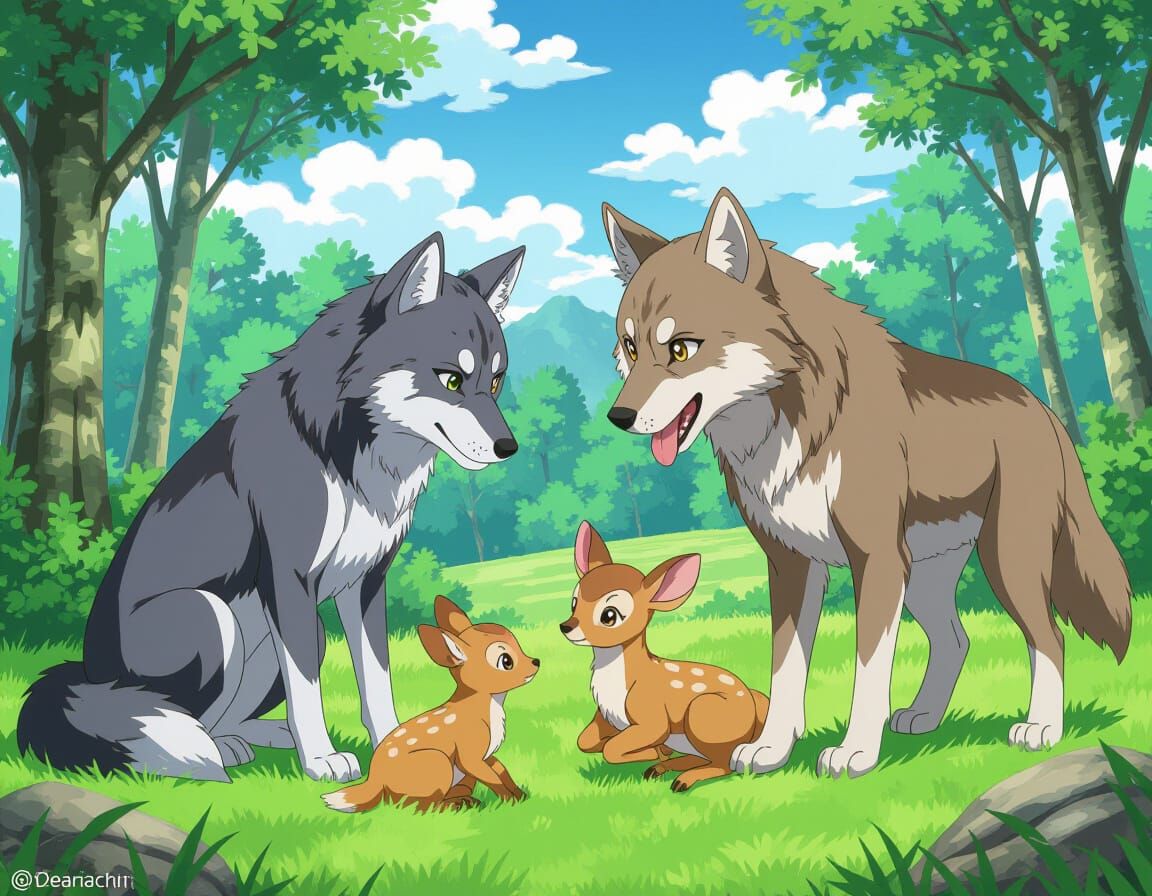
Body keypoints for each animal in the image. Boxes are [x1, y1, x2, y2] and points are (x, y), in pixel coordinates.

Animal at [18, 233, 524, 783]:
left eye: (494, 383)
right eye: (451, 380)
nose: (508, 448)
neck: (345, 450)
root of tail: (89, 675)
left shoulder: (365, 584)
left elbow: (376, 678)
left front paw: (394, 744)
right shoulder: (289, 579)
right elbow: (307, 688)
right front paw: (322, 758)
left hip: (299, 630)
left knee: (218, 719)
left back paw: (251, 738)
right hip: (210, 616)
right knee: (173, 716)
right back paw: (220, 751)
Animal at [323, 596, 538, 813]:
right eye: (506, 661)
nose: (536, 662)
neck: (484, 707)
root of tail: (375, 781)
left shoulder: (486, 755)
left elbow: (501, 770)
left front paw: (520, 796)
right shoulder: (470, 751)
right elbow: (491, 776)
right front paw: (509, 800)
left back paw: (466, 801)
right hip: (437, 763)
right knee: (419, 805)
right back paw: (454, 805)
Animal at [559, 521, 769, 792]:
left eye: (609, 615)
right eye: (574, 602)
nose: (566, 626)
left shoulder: (652, 716)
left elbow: (612, 748)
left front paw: (652, 752)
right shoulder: (605, 716)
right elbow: (585, 741)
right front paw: (657, 754)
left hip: (704, 714)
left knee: (725, 764)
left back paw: (682, 780)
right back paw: (661, 768)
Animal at [600, 187, 1132, 779]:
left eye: (680, 349)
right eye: (629, 348)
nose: (619, 417)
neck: (795, 425)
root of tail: (1041, 408)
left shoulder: (874, 560)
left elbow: (869, 667)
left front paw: (855, 751)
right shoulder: (791, 565)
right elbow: (785, 669)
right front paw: (772, 749)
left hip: (1002, 562)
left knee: (1049, 637)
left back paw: (1041, 728)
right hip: (924, 579)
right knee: (957, 640)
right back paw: (925, 716)